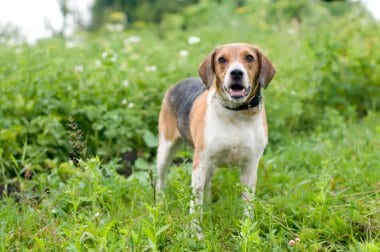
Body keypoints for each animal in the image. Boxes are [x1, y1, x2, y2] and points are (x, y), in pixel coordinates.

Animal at [156, 42, 274, 232]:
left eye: (249, 57)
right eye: (222, 59)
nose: (236, 73)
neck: (235, 114)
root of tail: (179, 83)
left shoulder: (250, 165)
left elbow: (248, 204)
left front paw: (247, 231)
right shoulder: (200, 163)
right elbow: (195, 203)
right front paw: (195, 233)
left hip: (211, 165)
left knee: (208, 184)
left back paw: (209, 205)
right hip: (166, 149)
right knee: (161, 178)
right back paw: (159, 203)